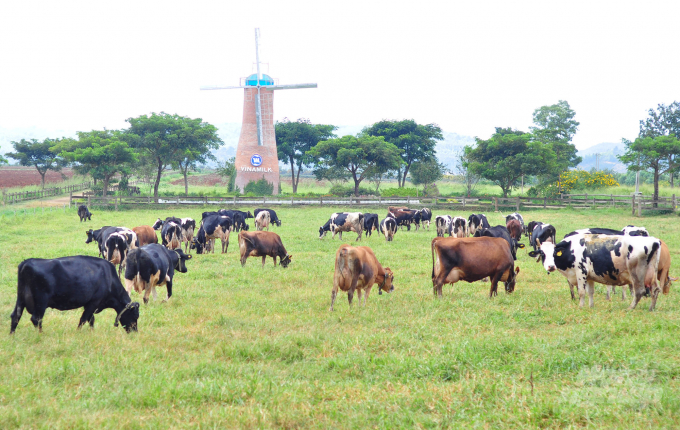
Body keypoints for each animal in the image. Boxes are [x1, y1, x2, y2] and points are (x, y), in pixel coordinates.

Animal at [9, 256, 139, 334]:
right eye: (135, 316)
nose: (134, 332)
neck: (109, 277)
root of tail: (27, 262)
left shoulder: (89, 303)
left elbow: (91, 319)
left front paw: (92, 332)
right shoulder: (94, 301)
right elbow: (84, 319)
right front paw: (78, 332)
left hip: (20, 299)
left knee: (15, 316)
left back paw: (12, 335)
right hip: (41, 301)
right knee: (36, 318)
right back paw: (41, 334)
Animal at [528, 233, 660, 310]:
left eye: (554, 253)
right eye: (542, 253)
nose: (550, 266)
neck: (571, 248)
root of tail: (654, 241)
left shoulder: (581, 272)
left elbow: (581, 292)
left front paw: (581, 307)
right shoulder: (589, 277)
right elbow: (590, 292)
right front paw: (591, 306)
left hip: (637, 274)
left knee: (639, 291)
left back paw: (630, 307)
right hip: (652, 273)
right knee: (655, 290)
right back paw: (651, 308)